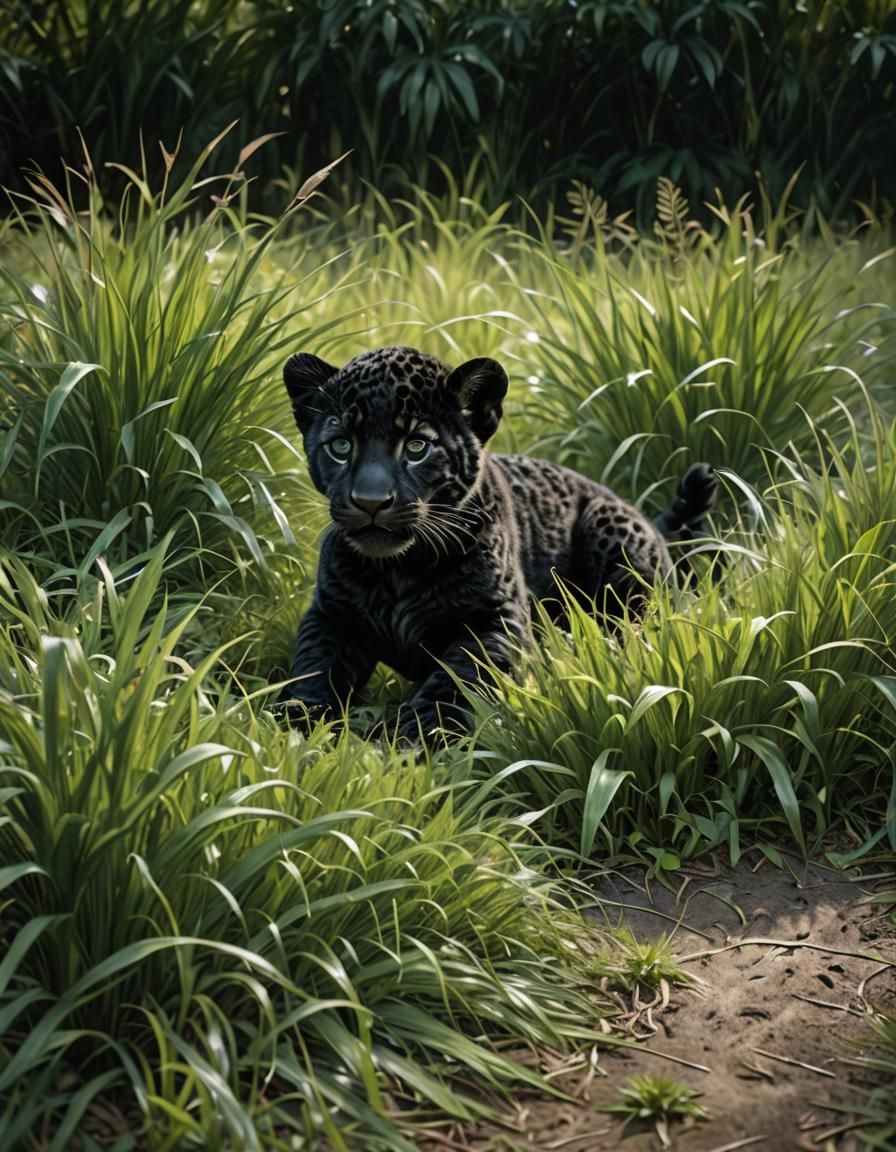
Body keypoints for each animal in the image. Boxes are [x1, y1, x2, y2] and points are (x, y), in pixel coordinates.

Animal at [275, 344, 717, 743]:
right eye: (341, 445)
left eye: (417, 447)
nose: (370, 501)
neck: (398, 570)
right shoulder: (330, 616)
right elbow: (312, 665)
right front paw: (291, 724)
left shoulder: (496, 620)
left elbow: (454, 678)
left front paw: (409, 736)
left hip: (612, 531)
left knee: (643, 625)